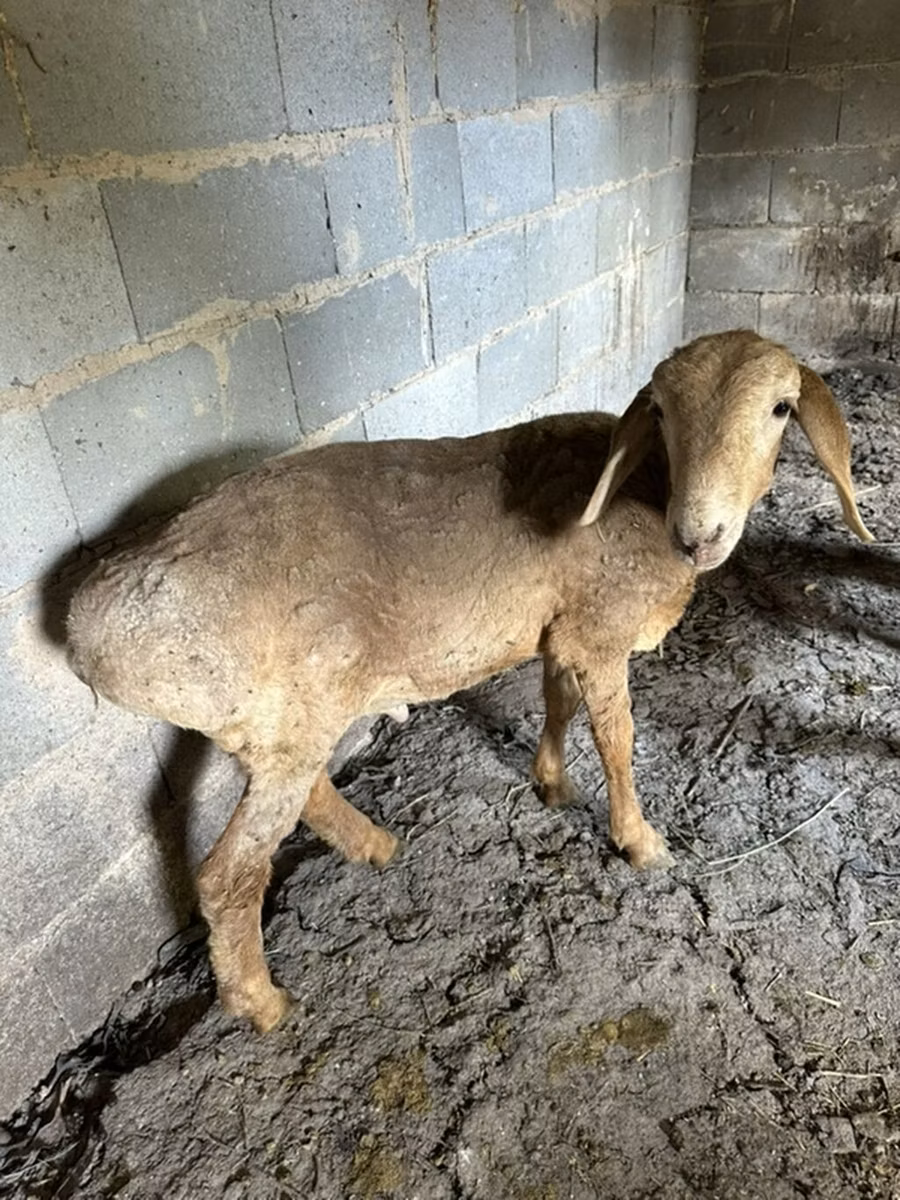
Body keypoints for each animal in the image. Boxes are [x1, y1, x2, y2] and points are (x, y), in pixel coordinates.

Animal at [67, 330, 873, 1033]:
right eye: (663, 413)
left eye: (781, 409)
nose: (698, 535)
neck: (644, 488)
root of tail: (88, 631)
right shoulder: (600, 630)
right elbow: (617, 736)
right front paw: (639, 842)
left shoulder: (560, 627)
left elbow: (559, 702)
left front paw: (552, 783)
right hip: (285, 711)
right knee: (228, 874)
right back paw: (262, 1003)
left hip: (264, 719)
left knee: (303, 795)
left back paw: (374, 847)